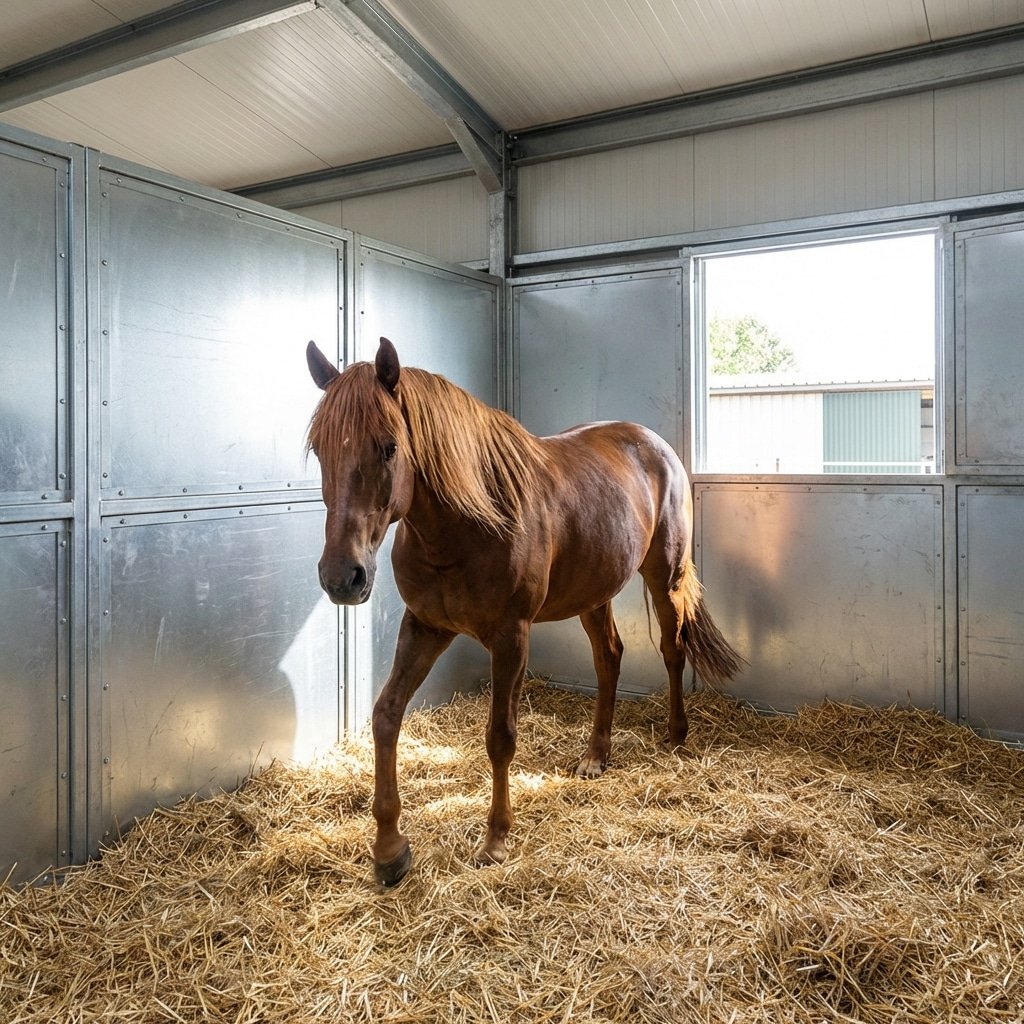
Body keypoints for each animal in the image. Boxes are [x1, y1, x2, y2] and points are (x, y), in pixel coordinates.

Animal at [305, 337, 744, 887]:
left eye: (388, 446)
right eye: (319, 449)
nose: (342, 577)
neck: (463, 526)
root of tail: (654, 444)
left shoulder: (511, 636)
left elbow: (500, 736)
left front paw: (495, 840)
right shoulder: (424, 627)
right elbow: (386, 716)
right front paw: (389, 849)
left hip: (664, 576)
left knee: (671, 647)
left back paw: (677, 736)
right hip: (593, 592)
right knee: (609, 658)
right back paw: (596, 755)